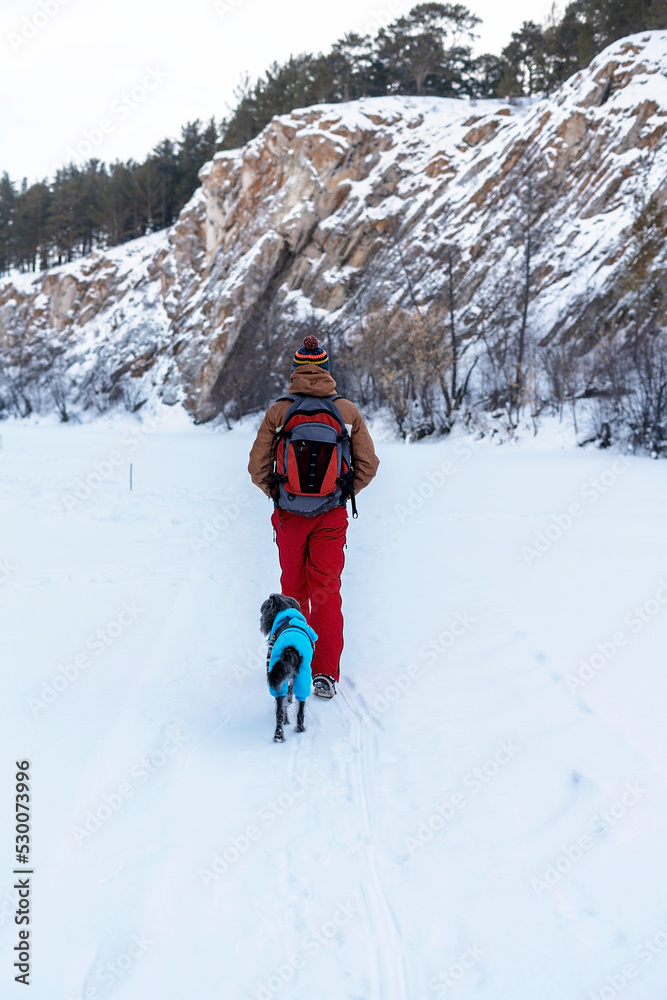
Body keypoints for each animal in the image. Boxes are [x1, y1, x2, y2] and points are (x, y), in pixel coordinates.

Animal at [260, 592, 318, 744]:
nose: (262, 623)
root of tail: (290, 648)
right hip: (302, 675)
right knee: (297, 707)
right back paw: (298, 728)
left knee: (280, 710)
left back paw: (279, 735)